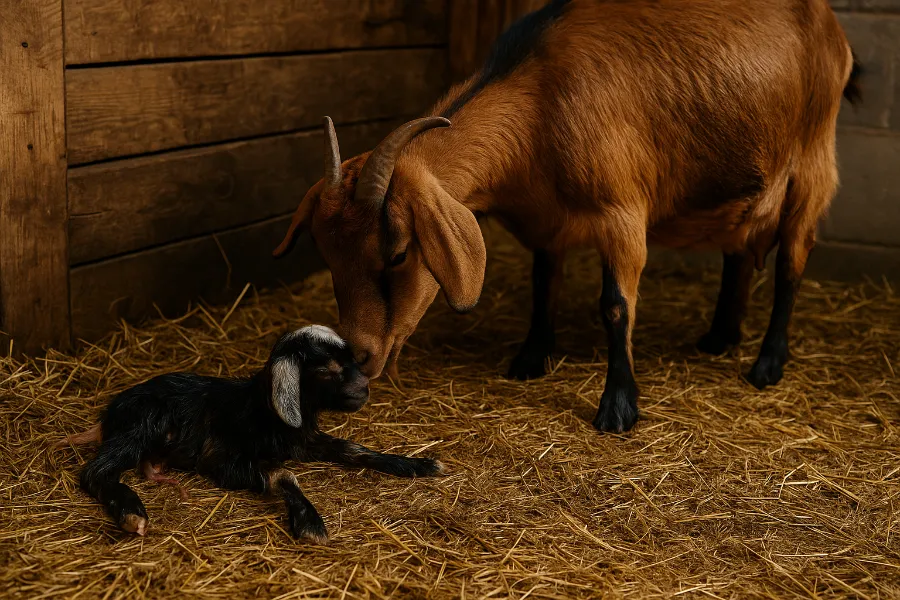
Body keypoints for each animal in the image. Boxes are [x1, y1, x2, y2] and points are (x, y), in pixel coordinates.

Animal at [58, 326, 444, 540]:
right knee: (96, 471)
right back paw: (131, 512)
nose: (364, 389)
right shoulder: (221, 459)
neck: (262, 410)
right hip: (139, 427)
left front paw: (417, 464)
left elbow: (354, 449)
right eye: (325, 368)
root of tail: (108, 414)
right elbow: (283, 474)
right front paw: (309, 521)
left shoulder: (302, 440)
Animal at [273, 0, 860, 433]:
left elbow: (616, 306)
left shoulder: (622, 212)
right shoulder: (547, 221)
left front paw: (618, 406)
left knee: (791, 264)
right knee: (738, 253)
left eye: (397, 253)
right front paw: (532, 358)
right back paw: (719, 337)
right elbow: (543, 284)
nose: (358, 356)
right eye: (327, 256)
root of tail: (831, 25)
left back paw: (767, 364)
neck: (542, 100)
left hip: (813, 161)